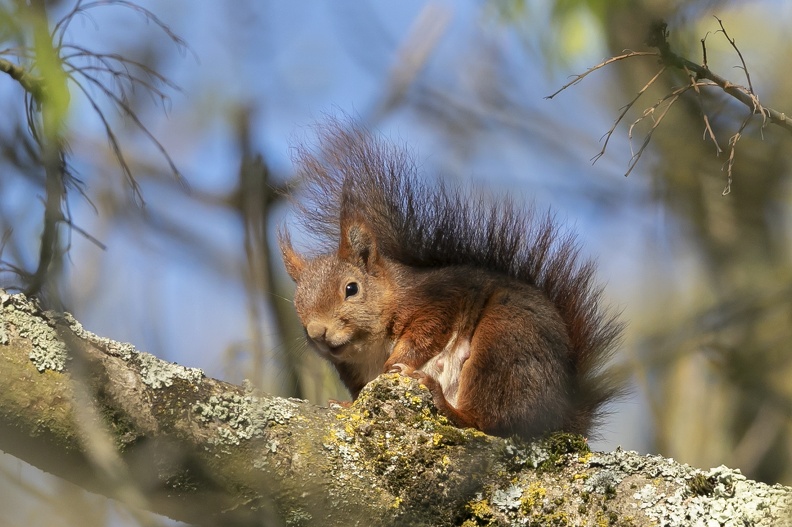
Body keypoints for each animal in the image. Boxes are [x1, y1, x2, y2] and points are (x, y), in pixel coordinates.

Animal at [282, 121, 620, 440]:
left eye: (351, 289)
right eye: (297, 306)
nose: (317, 331)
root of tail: (561, 414)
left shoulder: (438, 298)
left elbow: (426, 332)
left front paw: (397, 363)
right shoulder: (352, 372)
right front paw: (347, 404)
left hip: (504, 340)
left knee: (489, 420)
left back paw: (446, 405)